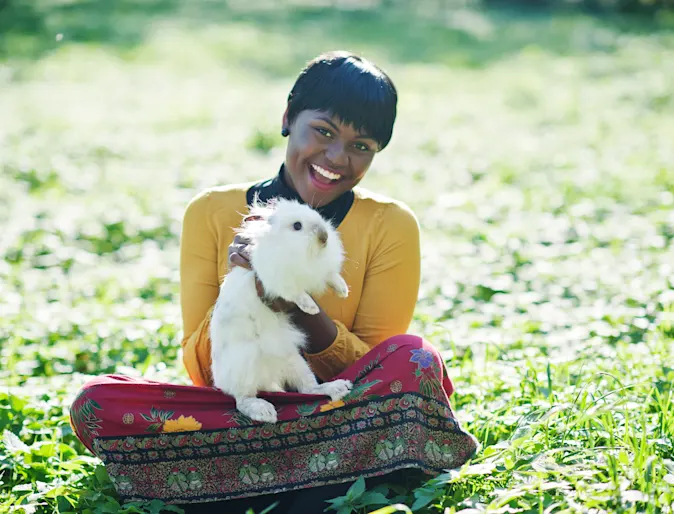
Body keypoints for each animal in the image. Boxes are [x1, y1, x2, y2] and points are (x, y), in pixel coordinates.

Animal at [209, 196, 352, 420]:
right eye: (297, 226)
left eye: (317, 214)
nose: (324, 237)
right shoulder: (279, 282)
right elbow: (296, 293)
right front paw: (311, 307)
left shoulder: (319, 271)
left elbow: (331, 277)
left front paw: (343, 290)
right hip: (244, 366)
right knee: (242, 399)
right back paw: (264, 411)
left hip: (296, 363)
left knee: (309, 389)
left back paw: (339, 387)